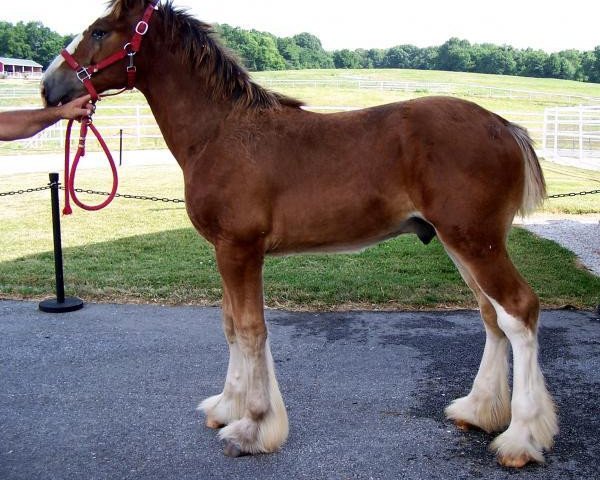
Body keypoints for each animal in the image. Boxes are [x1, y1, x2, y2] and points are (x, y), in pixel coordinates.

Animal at [41, 0, 556, 464]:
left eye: (100, 31)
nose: (49, 85)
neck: (220, 133)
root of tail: (505, 126)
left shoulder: (239, 249)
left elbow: (250, 330)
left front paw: (251, 427)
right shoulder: (228, 252)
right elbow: (231, 325)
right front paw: (227, 407)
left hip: (476, 242)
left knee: (518, 311)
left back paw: (520, 439)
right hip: (461, 244)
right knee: (492, 316)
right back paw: (480, 411)